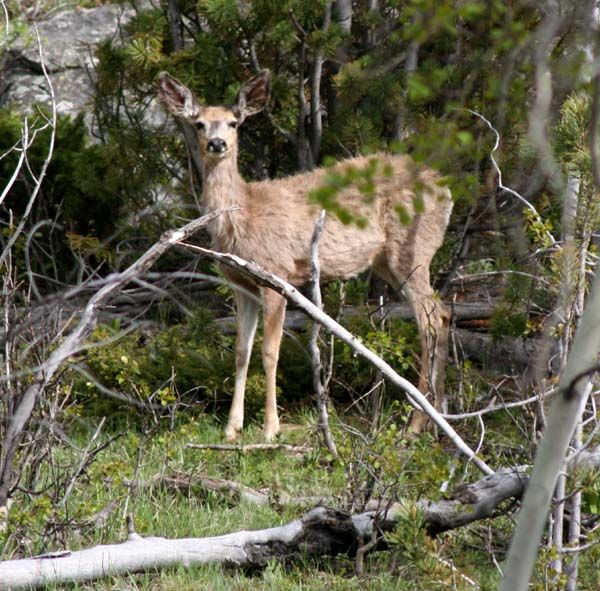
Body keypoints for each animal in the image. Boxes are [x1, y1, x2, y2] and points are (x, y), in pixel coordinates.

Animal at [157, 69, 452, 442]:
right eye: (198, 123)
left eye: (234, 123)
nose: (217, 144)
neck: (244, 215)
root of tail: (446, 189)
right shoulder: (242, 285)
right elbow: (241, 351)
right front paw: (231, 429)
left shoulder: (276, 274)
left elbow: (270, 352)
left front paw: (270, 429)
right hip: (387, 260)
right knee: (443, 313)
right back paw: (438, 418)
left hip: (412, 249)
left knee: (430, 320)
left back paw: (416, 425)